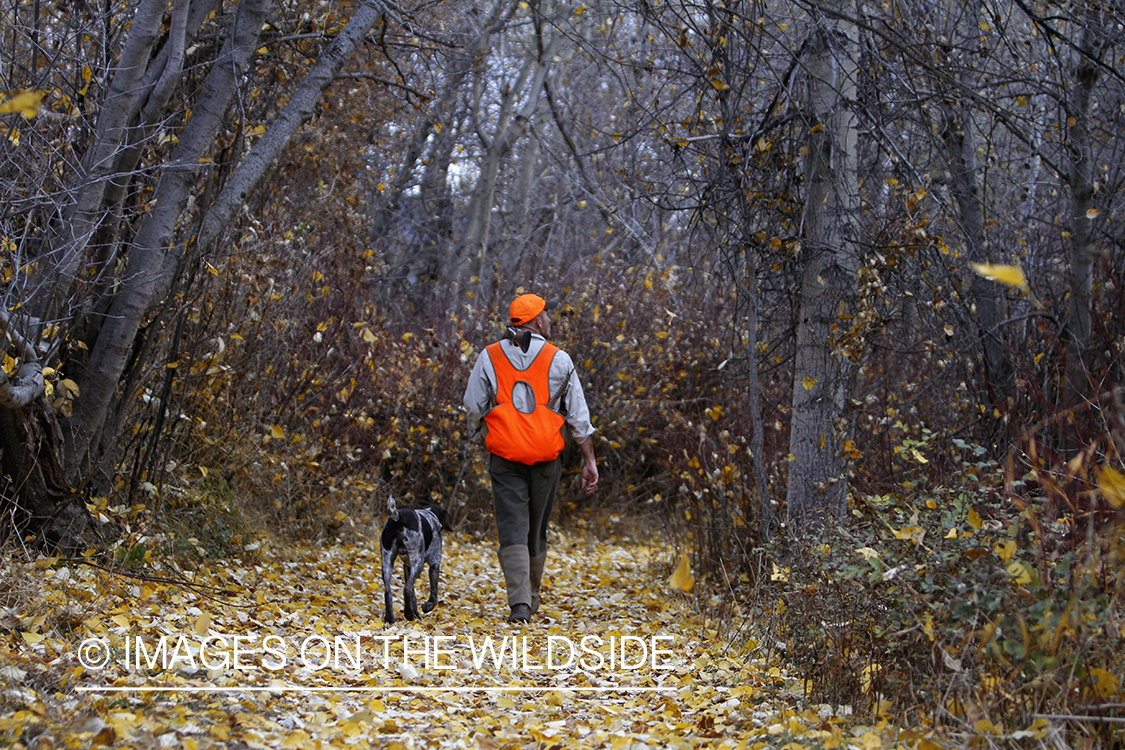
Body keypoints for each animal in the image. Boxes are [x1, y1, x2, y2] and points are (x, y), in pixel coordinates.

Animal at [378, 494, 447, 625]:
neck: (430, 515)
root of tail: (399, 518)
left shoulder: (407, 566)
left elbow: (413, 597)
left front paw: (416, 614)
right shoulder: (434, 563)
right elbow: (434, 595)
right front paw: (427, 607)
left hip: (387, 561)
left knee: (388, 591)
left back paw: (390, 618)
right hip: (418, 562)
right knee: (407, 589)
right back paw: (408, 615)